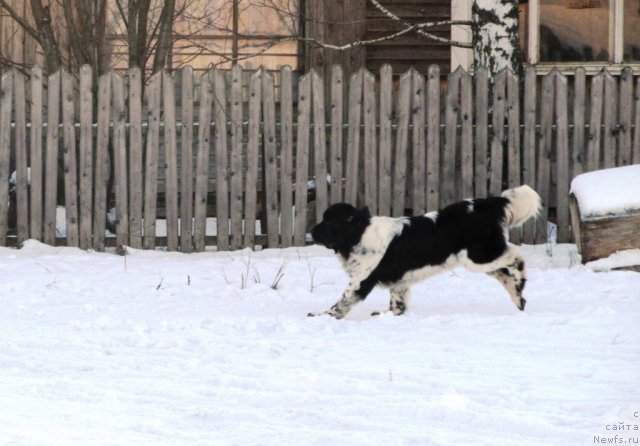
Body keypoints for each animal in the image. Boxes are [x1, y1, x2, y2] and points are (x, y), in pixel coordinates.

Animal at [308, 186, 540, 318]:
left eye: (327, 222)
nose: (311, 231)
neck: (359, 232)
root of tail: (483, 204)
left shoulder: (360, 280)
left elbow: (341, 302)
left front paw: (320, 315)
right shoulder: (399, 281)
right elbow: (398, 303)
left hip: (479, 257)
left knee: (516, 258)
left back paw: (519, 290)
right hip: (482, 259)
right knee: (505, 272)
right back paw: (518, 299)